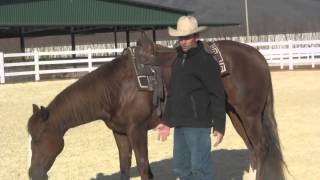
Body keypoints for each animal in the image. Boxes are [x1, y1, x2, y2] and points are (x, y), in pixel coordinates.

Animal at [27, 37, 161, 180]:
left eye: (38, 138)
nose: (33, 173)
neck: (120, 88)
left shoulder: (138, 130)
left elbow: (143, 166)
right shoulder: (120, 132)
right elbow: (124, 164)